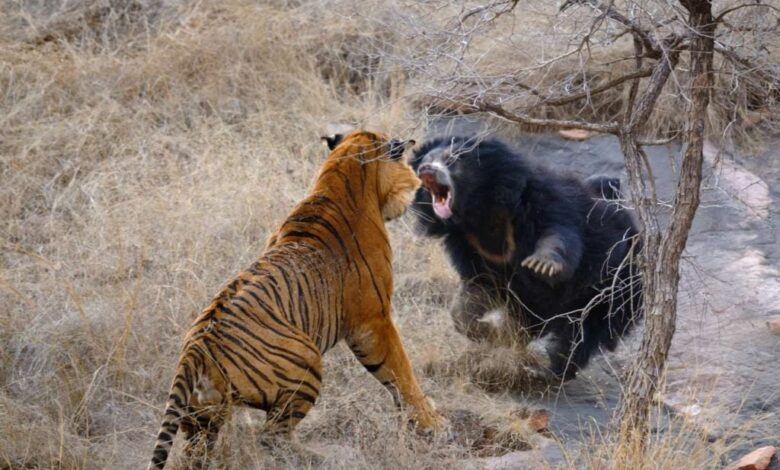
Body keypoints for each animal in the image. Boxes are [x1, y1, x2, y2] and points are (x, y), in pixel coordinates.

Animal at [146, 129, 444, 470]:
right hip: (307, 360)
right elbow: (400, 371)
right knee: (272, 437)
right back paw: (324, 456)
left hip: (201, 417)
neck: (339, 176)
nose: (417, 183)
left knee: (198, 451)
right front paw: (430, 422)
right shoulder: (373, 320)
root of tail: (194, 350)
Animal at [412, 136, 644, 382]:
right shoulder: (470, 246)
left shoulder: (541, 200)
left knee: (581, 335)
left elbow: (558, 233)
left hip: (614, 289)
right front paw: (491, 332)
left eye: (451, 160)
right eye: (425, 162)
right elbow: (475, 292)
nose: (426, 170)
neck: (479, 212)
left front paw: (542, 265)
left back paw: (548, 371)